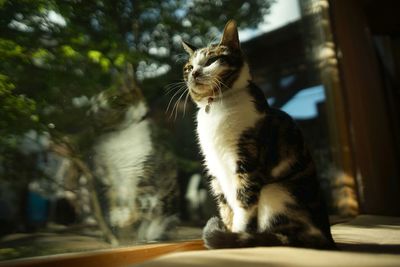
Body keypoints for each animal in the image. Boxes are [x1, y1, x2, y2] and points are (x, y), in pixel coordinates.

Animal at [180, 19, 334, 250]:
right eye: (189, 67)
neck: (216, 107)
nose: (194, 73)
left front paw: (235, 237)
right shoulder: (215, 168)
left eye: (212, 60)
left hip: (275, 190)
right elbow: (226, 208)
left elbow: (243, 204)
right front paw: (227, 231)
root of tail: (328, 236)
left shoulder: (246, 163)